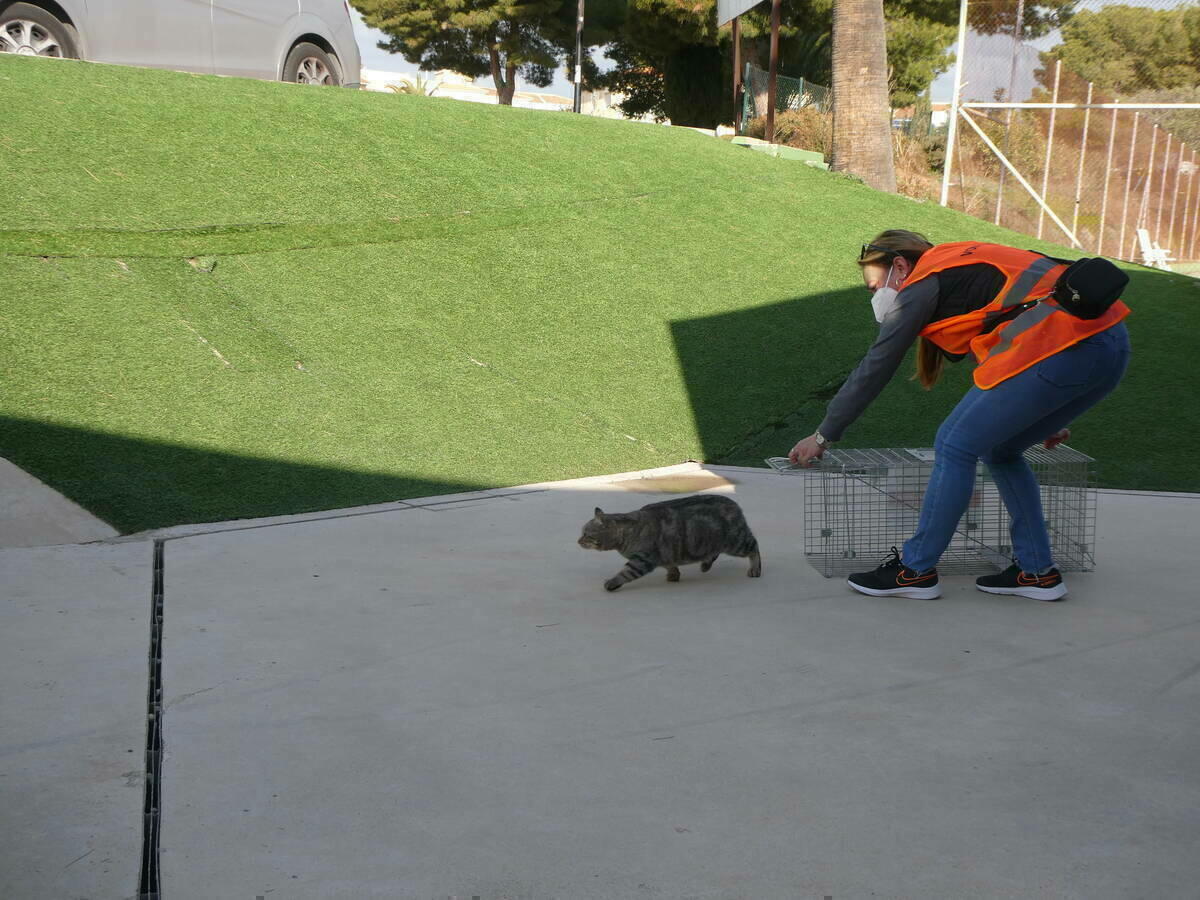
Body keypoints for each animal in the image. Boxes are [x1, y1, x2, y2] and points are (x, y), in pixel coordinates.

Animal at [578, 494, 763, 592]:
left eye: (586, 534)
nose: (578, 541)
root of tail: (734, 503)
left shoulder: (642, 560)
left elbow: (625, 573)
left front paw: (612, 583)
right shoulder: (665, 554)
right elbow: (670, 566)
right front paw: (674, 575)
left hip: (736, 542)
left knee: (754, 547)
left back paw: (755, 569)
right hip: (715, 543)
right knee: (714, 553)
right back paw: (705, 565)